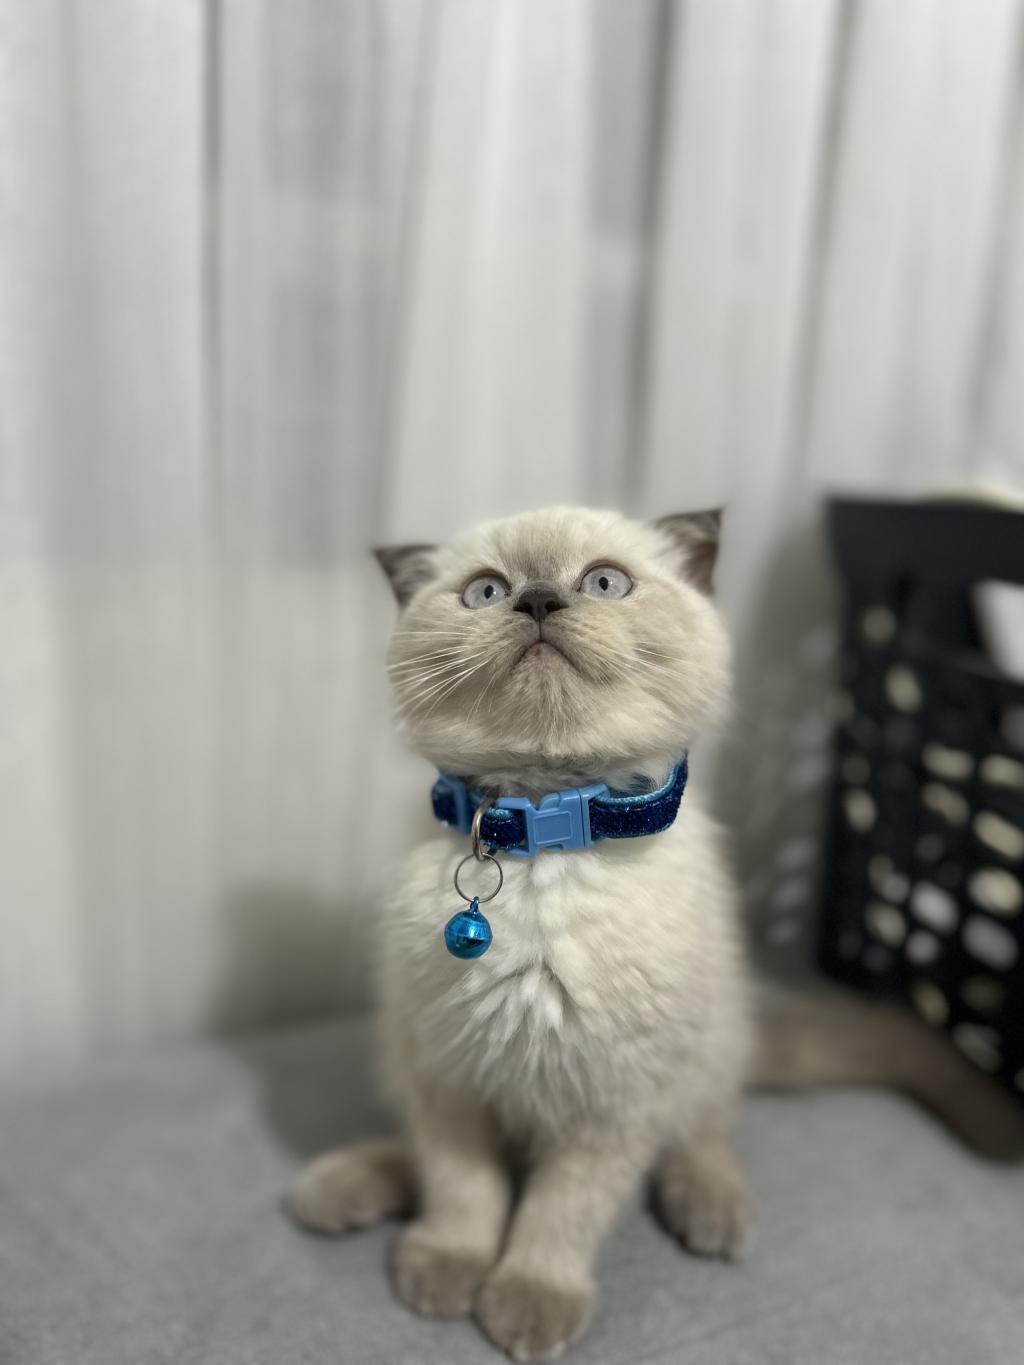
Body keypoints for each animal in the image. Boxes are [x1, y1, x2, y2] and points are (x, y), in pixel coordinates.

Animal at [292, 506, 1024, 1362]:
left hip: (703, 1049)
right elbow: (466, 1188)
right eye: (485, 592)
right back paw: (339, 1187)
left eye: (605, 581)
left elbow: (558, 1210)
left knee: (702, 1130)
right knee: (420, 1149)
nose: (537, 600)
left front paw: (528, 1303)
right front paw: (447, 1271)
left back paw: (710, 1211)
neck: (542, 836)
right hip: (403, 1052)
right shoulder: (449, 1077)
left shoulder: (614, 1099)